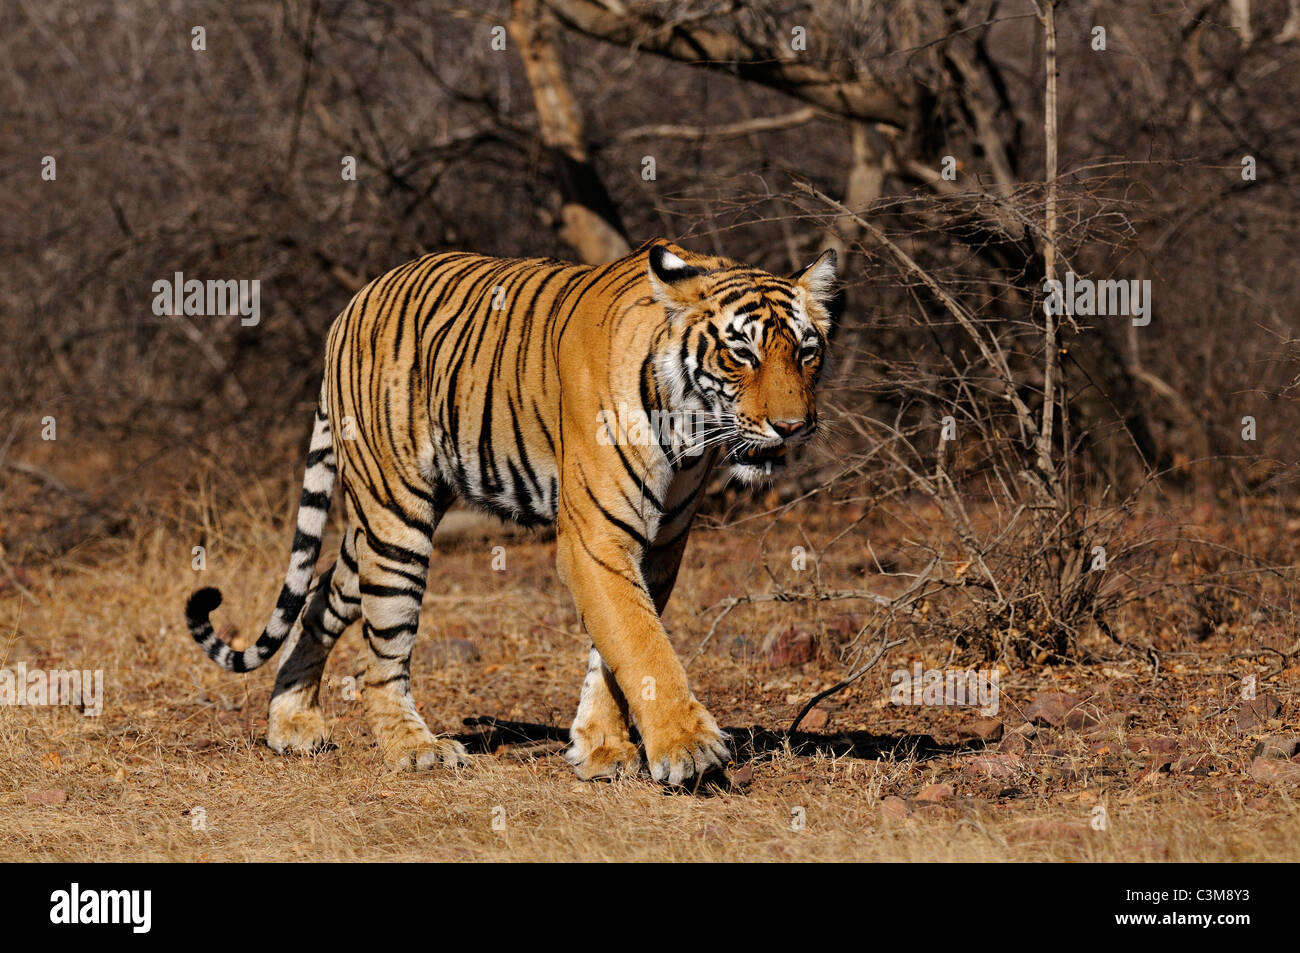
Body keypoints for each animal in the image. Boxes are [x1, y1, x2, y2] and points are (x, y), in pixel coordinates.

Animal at [185, 239, 839, 785]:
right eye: (741, 353)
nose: (792, 427)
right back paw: (414, 749)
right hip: (397, 514)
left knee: (323, 592)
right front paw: (687, 748)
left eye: (807, 353)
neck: (689, 432)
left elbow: (615, 648)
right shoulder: (597, 537)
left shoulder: (659, 544)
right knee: (384, 652)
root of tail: (352, 304)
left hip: (377, 523)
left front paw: (601, 748)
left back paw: (291, 722)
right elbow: (641, 643)